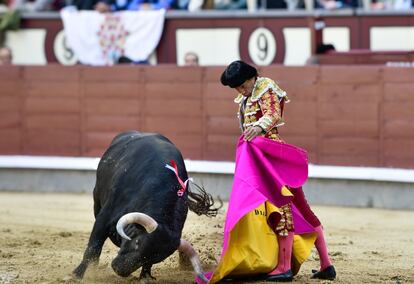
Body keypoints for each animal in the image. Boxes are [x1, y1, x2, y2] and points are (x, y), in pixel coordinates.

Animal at [73, 131, 218, 282]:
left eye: (155, 259)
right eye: (137, 242)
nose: (120, 270)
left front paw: (145, 277)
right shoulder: (105, 216)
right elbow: (94, 245)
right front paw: (78, 274)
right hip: (97, 198)